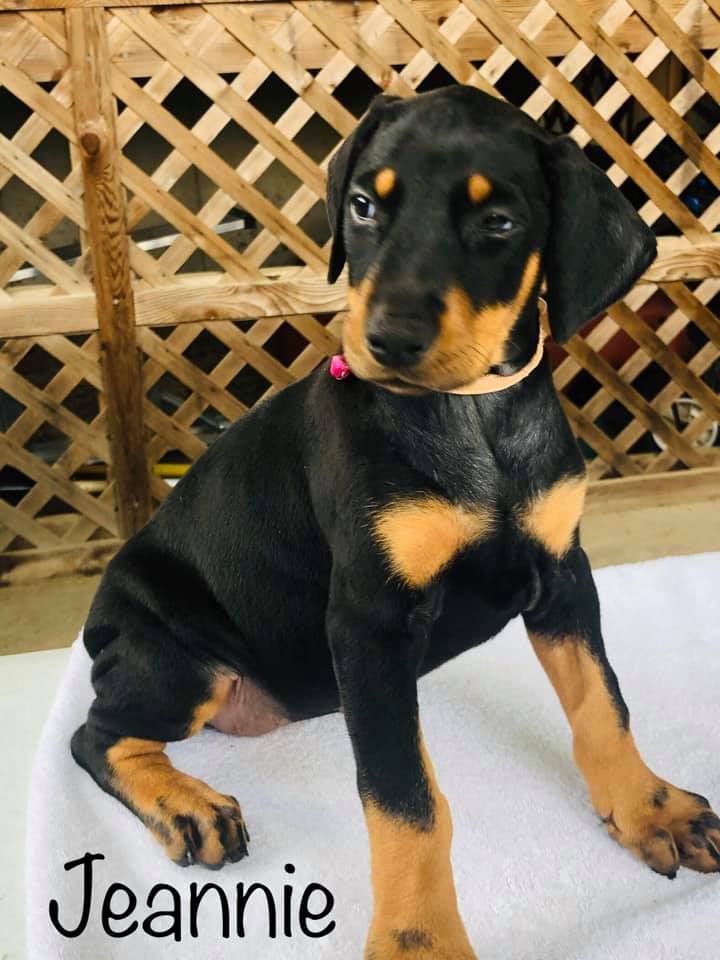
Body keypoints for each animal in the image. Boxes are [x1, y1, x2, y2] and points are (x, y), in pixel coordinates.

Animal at [71, 86, 720, 959]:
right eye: (364, 205)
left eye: (500, 223)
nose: (387, 340)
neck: (469, 413)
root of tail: (99, 626)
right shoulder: (368, 620)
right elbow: (405, 798)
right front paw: (420, 938)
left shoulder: (563, 573)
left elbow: (602, 703)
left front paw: (651, 810)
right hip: (177, 657)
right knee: (95, 734)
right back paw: (189, 806)